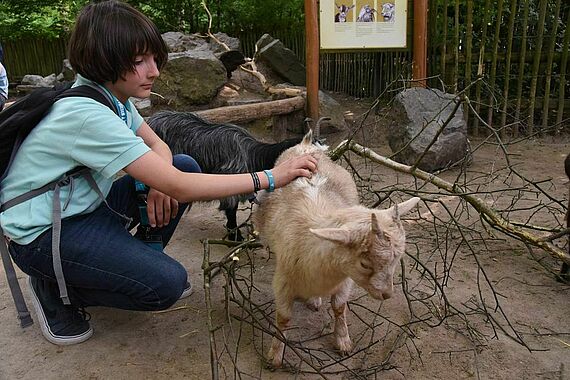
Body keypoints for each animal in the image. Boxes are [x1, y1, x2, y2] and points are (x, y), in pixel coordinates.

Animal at [253, 131, 418, 368]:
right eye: (365, 263)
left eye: (397, 260)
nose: (386, 294)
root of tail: (306, 145)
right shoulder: (283, 280)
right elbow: (283, 318)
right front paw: (275, 355)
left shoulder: (345, 278)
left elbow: (340, 308)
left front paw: (343, 342)